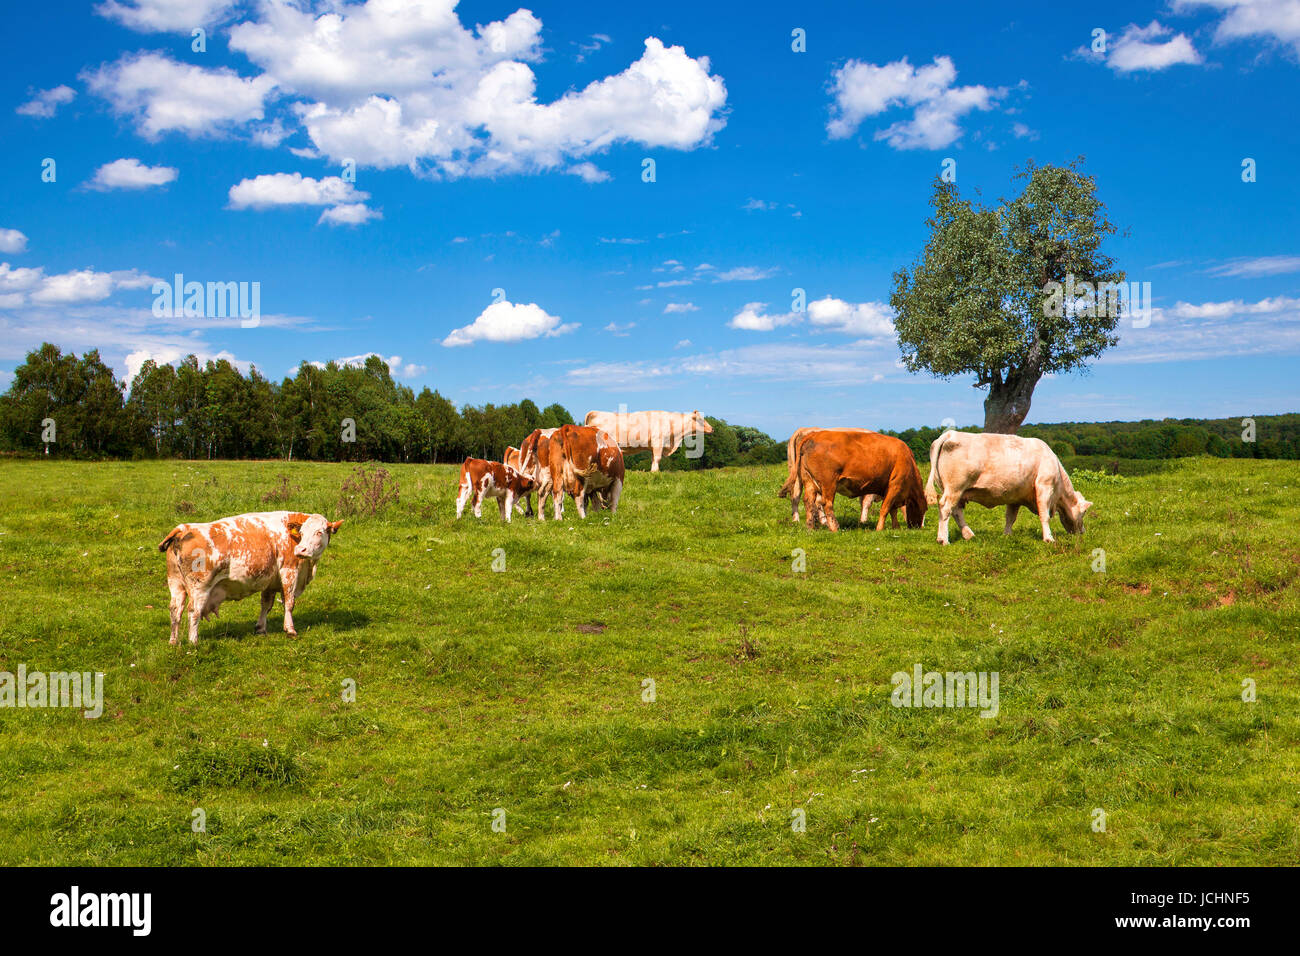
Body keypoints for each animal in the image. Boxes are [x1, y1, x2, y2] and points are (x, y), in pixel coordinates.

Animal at [157, 511, 342, 645]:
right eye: (302, 532)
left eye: (319, 532)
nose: (301, 550)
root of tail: (184, 528)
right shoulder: (289, 571)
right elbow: (289, 603)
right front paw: (290, 630)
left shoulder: (270, 580)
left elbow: (266, 605)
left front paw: (260, 628)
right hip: (200, 588)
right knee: (193, 611)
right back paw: (193, 642)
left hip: (176, 584)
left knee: (175, 610)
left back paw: (174, 642)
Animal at [583, 409, 713, 472]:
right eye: (700, 420)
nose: (712, 428)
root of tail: (595, 412)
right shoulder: (658, 442)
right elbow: (658, 458)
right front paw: (655, 472)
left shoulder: (653, 446)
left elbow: (653, 459)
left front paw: (652, 471)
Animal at [797, 430, 927, 531]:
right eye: (925, 509)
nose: (918, 527)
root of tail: (813, 435)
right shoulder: (895, 485)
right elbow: (885, 508)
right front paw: (879, 529)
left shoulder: (889, 490)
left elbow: (892, 510)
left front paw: (896, 527)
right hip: (828, 483)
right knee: (827, 504)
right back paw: (834, 528)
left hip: (809, 481)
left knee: (808, 501)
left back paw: (810, 528)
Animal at [925, 430, 1092, 545]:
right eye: (1083, 513)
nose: (1083, 532)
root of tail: (950, 433)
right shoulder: (1044, 486)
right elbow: (1044, 515)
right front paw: (1049, 538)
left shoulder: (1015, 497)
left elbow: (1010, 517)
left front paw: (1007, 535)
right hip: (955, 488)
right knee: (945, 508)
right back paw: (943, 540)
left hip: (954, 491)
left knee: (956, 512)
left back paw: (968, 535)